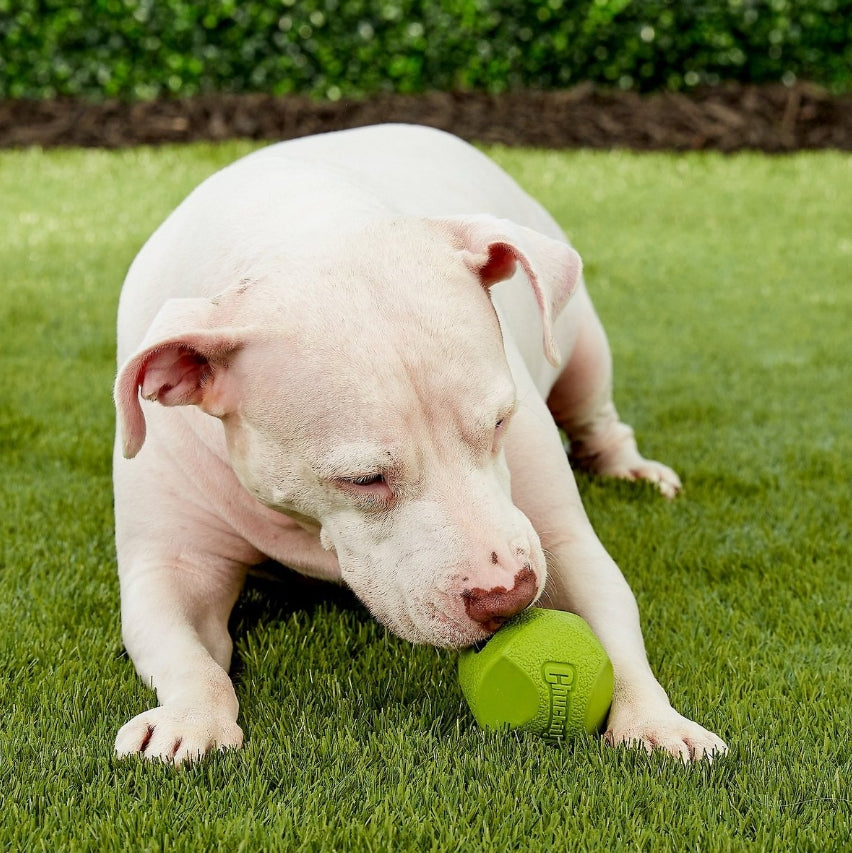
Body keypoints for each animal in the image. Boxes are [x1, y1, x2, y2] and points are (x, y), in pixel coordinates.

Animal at [111, 123, 724, 764]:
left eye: (500, 423)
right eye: (362, 479)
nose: (508, 598)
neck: (295, 227)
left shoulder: (561, 540)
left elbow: (614, 624)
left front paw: (656, 720)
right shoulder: (173, 564)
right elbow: (188, 654)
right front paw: (191, 718)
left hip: (581, 346)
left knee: (597, 414)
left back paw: (631, 467)